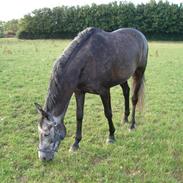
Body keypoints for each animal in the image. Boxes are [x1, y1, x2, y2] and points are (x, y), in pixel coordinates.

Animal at [35, 26, 148, 160]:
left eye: (46, 134)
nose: (43, 157)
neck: (87, 61)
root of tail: (140, 34)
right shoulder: (79, 92)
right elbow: (79, 116)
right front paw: (76, 143)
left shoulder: (104, 91)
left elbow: (108, 113)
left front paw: (111, 136)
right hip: (122, 77)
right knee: (126, 91)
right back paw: (125, 118)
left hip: (139, 72)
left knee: (134, 98)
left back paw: (132, 125)